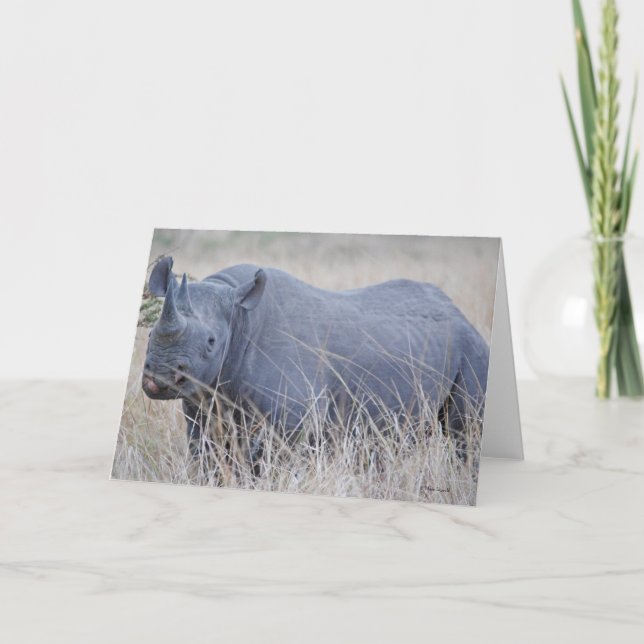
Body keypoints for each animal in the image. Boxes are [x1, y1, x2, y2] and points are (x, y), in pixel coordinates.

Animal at [142, 256, 489, 462]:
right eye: (149, 335)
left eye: (211, 343)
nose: (158, 379)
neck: (239, 319)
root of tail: (460, 314)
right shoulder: (205, 404)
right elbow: (206, 455)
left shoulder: (293, 421)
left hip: (471, 348)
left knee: (464, 433)